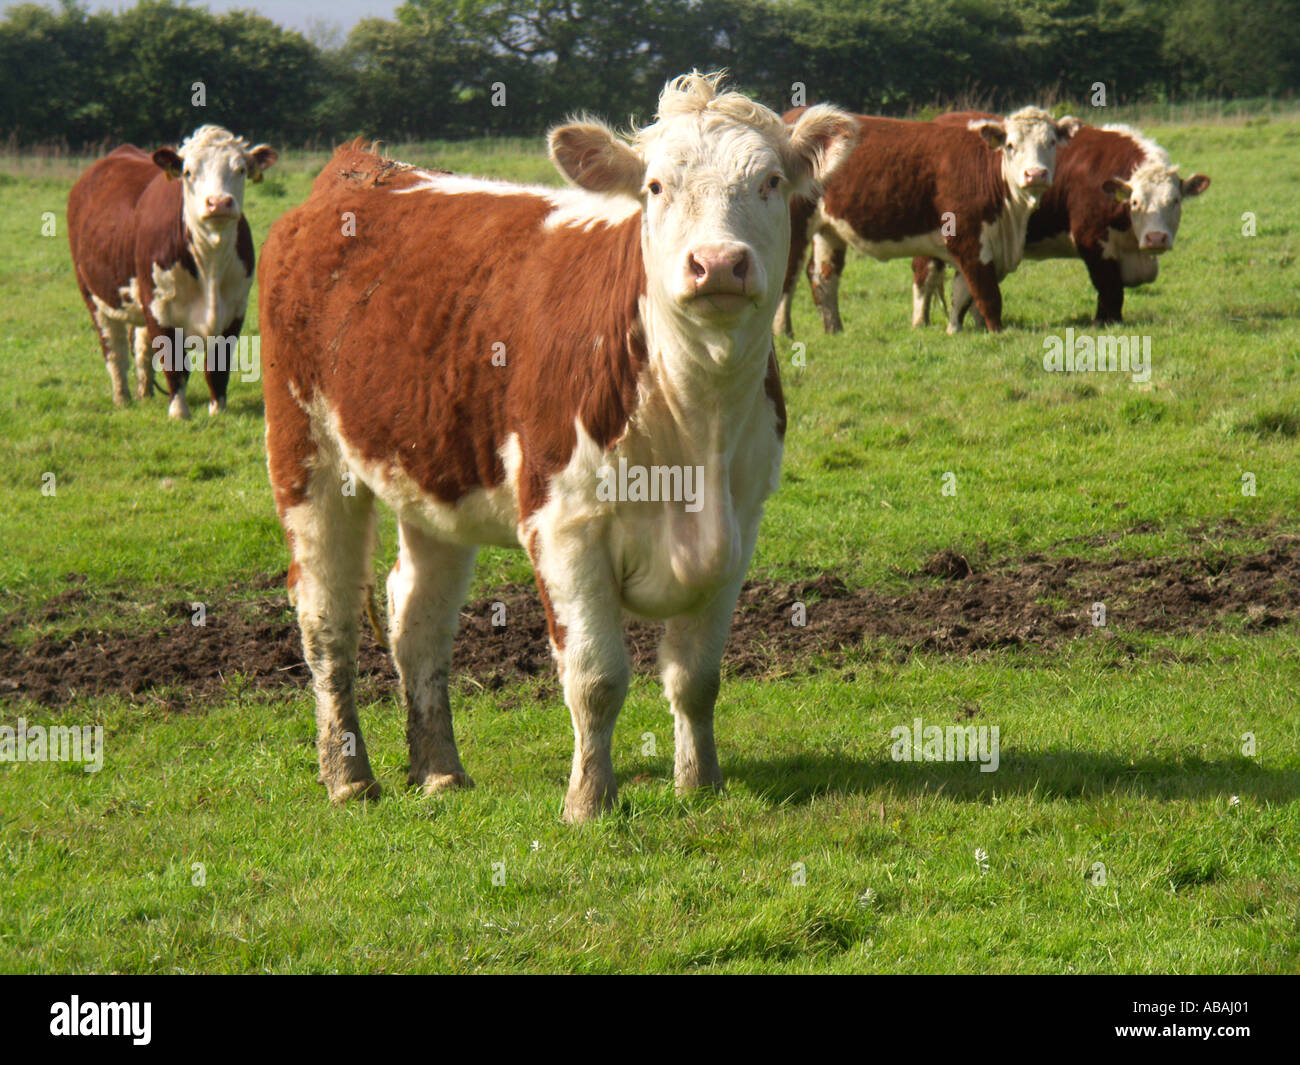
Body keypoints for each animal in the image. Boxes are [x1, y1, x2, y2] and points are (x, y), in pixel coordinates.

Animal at [67, 125, 277, 418]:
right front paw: (179, 412)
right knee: (114, 349)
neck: (210, 262)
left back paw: (145, 393)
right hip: (94, 296)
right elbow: (174, 364)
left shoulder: (236, 308)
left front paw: (218, 411)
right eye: (188, 172)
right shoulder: (159, 307)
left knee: (141, 347)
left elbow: (217, 367)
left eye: (241, 169)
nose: (219, 202)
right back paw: (122, 398)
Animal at [257, 73, 856, 822]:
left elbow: (696, 676)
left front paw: (701, 783)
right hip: (307, 458)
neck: (697, 424)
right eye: (655, 186)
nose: (718, 263)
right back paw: (349, 776)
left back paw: (440, 768)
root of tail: (357, 169)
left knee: (417, 619)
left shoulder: (738, 529)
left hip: (434, 473)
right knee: (326, 619)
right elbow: (596, 677)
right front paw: (589, 799)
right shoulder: (564, 525)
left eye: (771, 181)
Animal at [774, 107, 1079, 337]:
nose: (1036, 174)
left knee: (823, 276)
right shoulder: (967, 239)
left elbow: (962, 295)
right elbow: (988, 296)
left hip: (829, 229)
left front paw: (955, 330)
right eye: (1011, 145)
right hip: (795, 226)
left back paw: (834, 329)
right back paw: (783, 331)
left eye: (1051, 142)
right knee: (787, 277)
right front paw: (997, 332)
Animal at [910, 119, 1211, 327]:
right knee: (925, 273)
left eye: (1175, 201)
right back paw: (920, 321)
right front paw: (1105, 323)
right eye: (1135, 202)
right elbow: (1110, 289)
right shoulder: (1092, 241)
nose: (1156, 238)